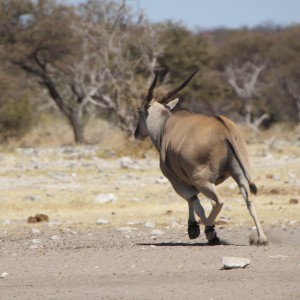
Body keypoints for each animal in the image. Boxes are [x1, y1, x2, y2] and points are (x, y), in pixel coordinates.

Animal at [134, 70, 268, 246]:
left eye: (139, 110)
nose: (136, 133)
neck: (164, 126)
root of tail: (225, 129)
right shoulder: (193, 181)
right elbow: (195, 201)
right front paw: (194, 228)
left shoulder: (177, 181)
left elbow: (195, 202)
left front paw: (199, 230)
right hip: (240, 176)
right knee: (249, 201)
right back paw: (261, 238)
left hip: (203, 181)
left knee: (219, 201)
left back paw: (210, 231)